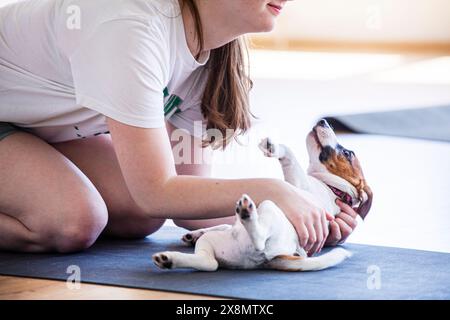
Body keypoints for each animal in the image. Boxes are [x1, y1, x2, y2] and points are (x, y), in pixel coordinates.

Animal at [153, 119, 370, 272]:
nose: (324, 121)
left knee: (257, 240)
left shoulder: (299, 185)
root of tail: (271, 258)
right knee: (209, 263)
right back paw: (170, 259)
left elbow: (289, 155)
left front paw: (273, 148)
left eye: (348, 153)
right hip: (212, 242)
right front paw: (194, 233)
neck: (333, 188)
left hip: (268, 206)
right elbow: (222, 224)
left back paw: (247, 214)